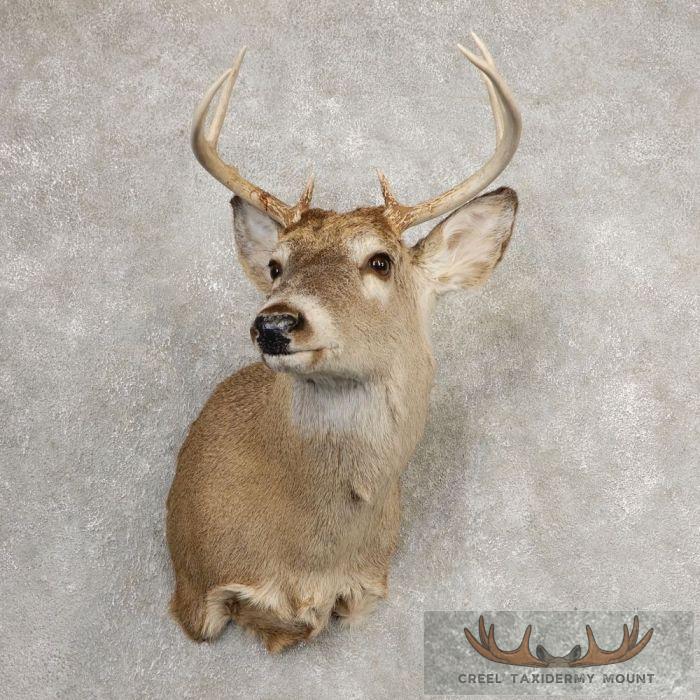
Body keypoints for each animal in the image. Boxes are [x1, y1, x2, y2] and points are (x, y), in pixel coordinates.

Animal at [166, 33, 521, 653]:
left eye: (380, 260)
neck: (314, 556)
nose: (274, 324)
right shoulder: (194, 593)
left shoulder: (370, 584)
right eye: (277, 266)